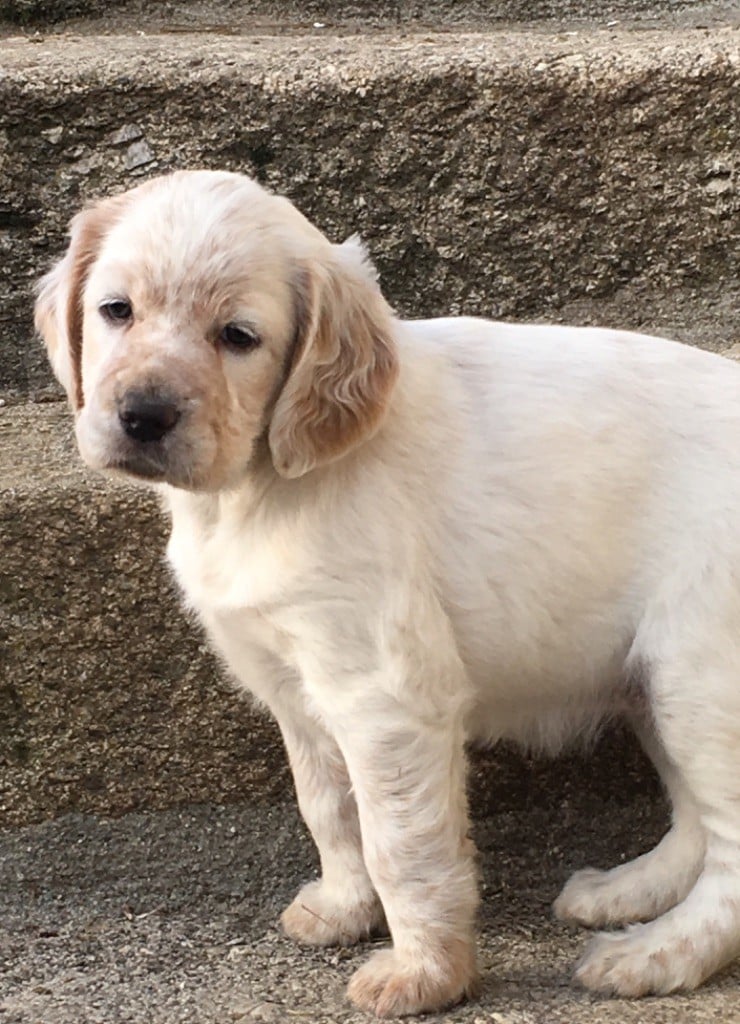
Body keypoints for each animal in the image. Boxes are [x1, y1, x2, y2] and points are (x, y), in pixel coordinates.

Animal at [37, 169, 740, 1015]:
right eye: (117, 310)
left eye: (238, 337)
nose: (142, 415)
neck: (259, 488)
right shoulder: (293, 684)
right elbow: (330, 808)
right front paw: (343, 909)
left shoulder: (387, 695)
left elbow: (400, 843)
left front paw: (423, 974)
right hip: (654, 682)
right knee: (697, 821)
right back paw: (627, 895)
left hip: (701, 676)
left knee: (732, 847)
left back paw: (658, 953)